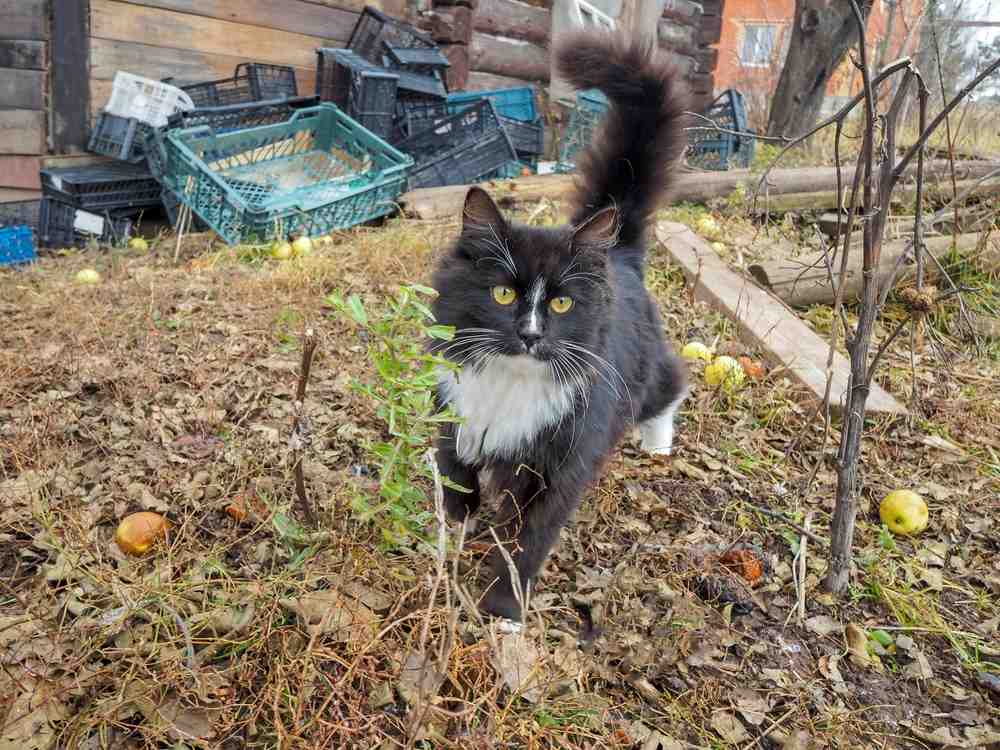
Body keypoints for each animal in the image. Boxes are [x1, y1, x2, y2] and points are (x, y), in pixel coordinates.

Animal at [434, 29, 692, 620]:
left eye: (561, 305)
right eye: (503, 293)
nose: (530, 334)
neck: (515, 383)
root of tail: (617, 250)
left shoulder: (564, 464)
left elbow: (529, 541)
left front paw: (503, 612)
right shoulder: (452, 416)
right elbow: (458, 488)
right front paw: (450, 548)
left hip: (641, 374)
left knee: (671, 383)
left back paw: (657, 442)